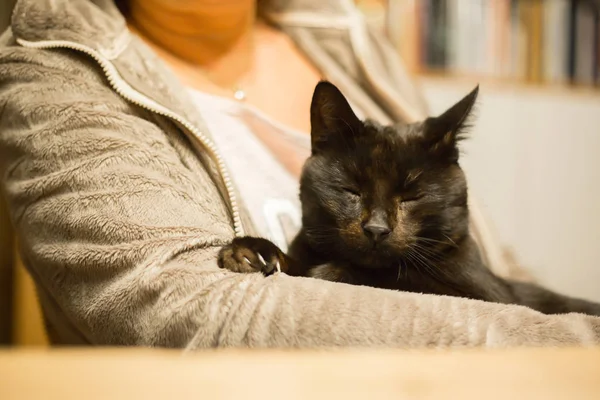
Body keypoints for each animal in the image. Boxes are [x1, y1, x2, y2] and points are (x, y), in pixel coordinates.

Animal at [218, 79, 600, 316]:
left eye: (412, 196)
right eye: (351, 190)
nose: (376, 229)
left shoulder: (490, 296)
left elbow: (401, 280)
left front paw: (329, 271)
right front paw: (252, 252)